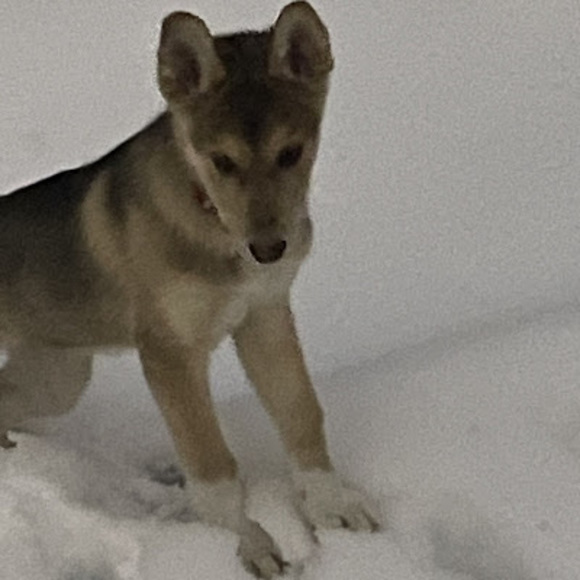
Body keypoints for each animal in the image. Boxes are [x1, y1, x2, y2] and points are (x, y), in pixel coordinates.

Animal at [0, 2, 379, 577]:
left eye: (291, 152)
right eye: (221, 161)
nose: (270, 249)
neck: (214, 228)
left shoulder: (264, 316)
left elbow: (301, 414)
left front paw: (332, 509)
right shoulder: (169, 354)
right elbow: (213, 469)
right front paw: (250, 547)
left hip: (57, 374)